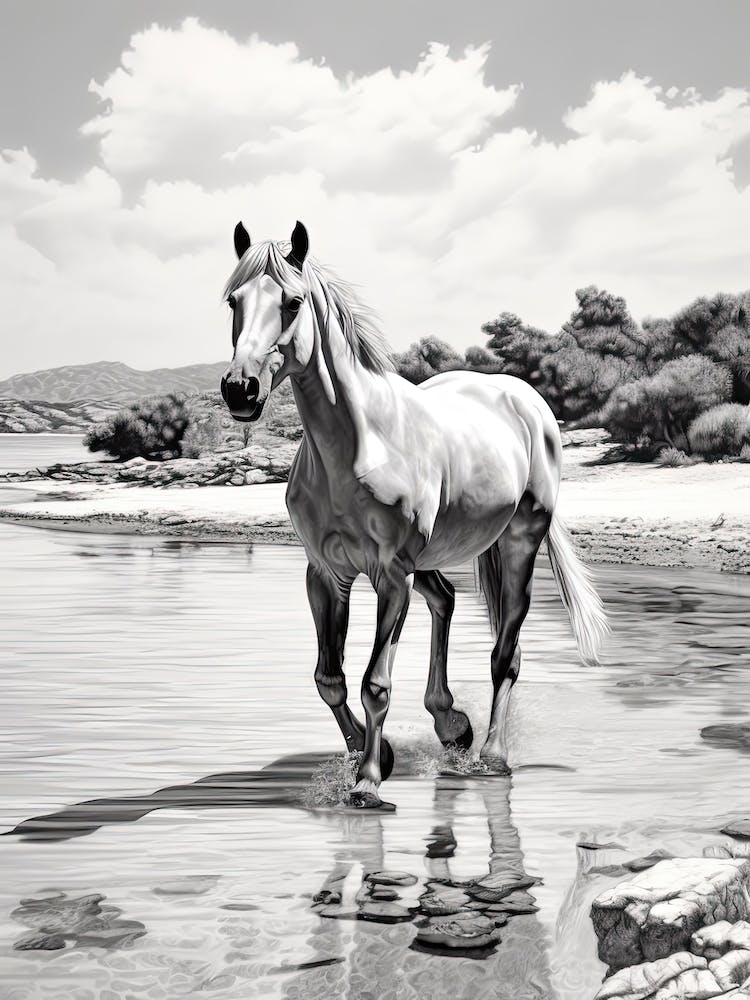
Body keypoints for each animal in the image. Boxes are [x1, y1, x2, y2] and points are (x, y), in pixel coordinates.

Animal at [220, 220, 609, 809]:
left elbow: (374, 682)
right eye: (232, 301)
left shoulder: (390, 575)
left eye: (292, 302)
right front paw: (376, 754)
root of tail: (523, 397)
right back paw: (452, 726)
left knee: (505, 652)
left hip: (517, 541)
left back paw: (492, 756)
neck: (358, 445)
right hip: (428, 559)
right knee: (446, 601)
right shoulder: (326, 574)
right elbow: (329, 679)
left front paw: (367, 782)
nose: (240, 390)